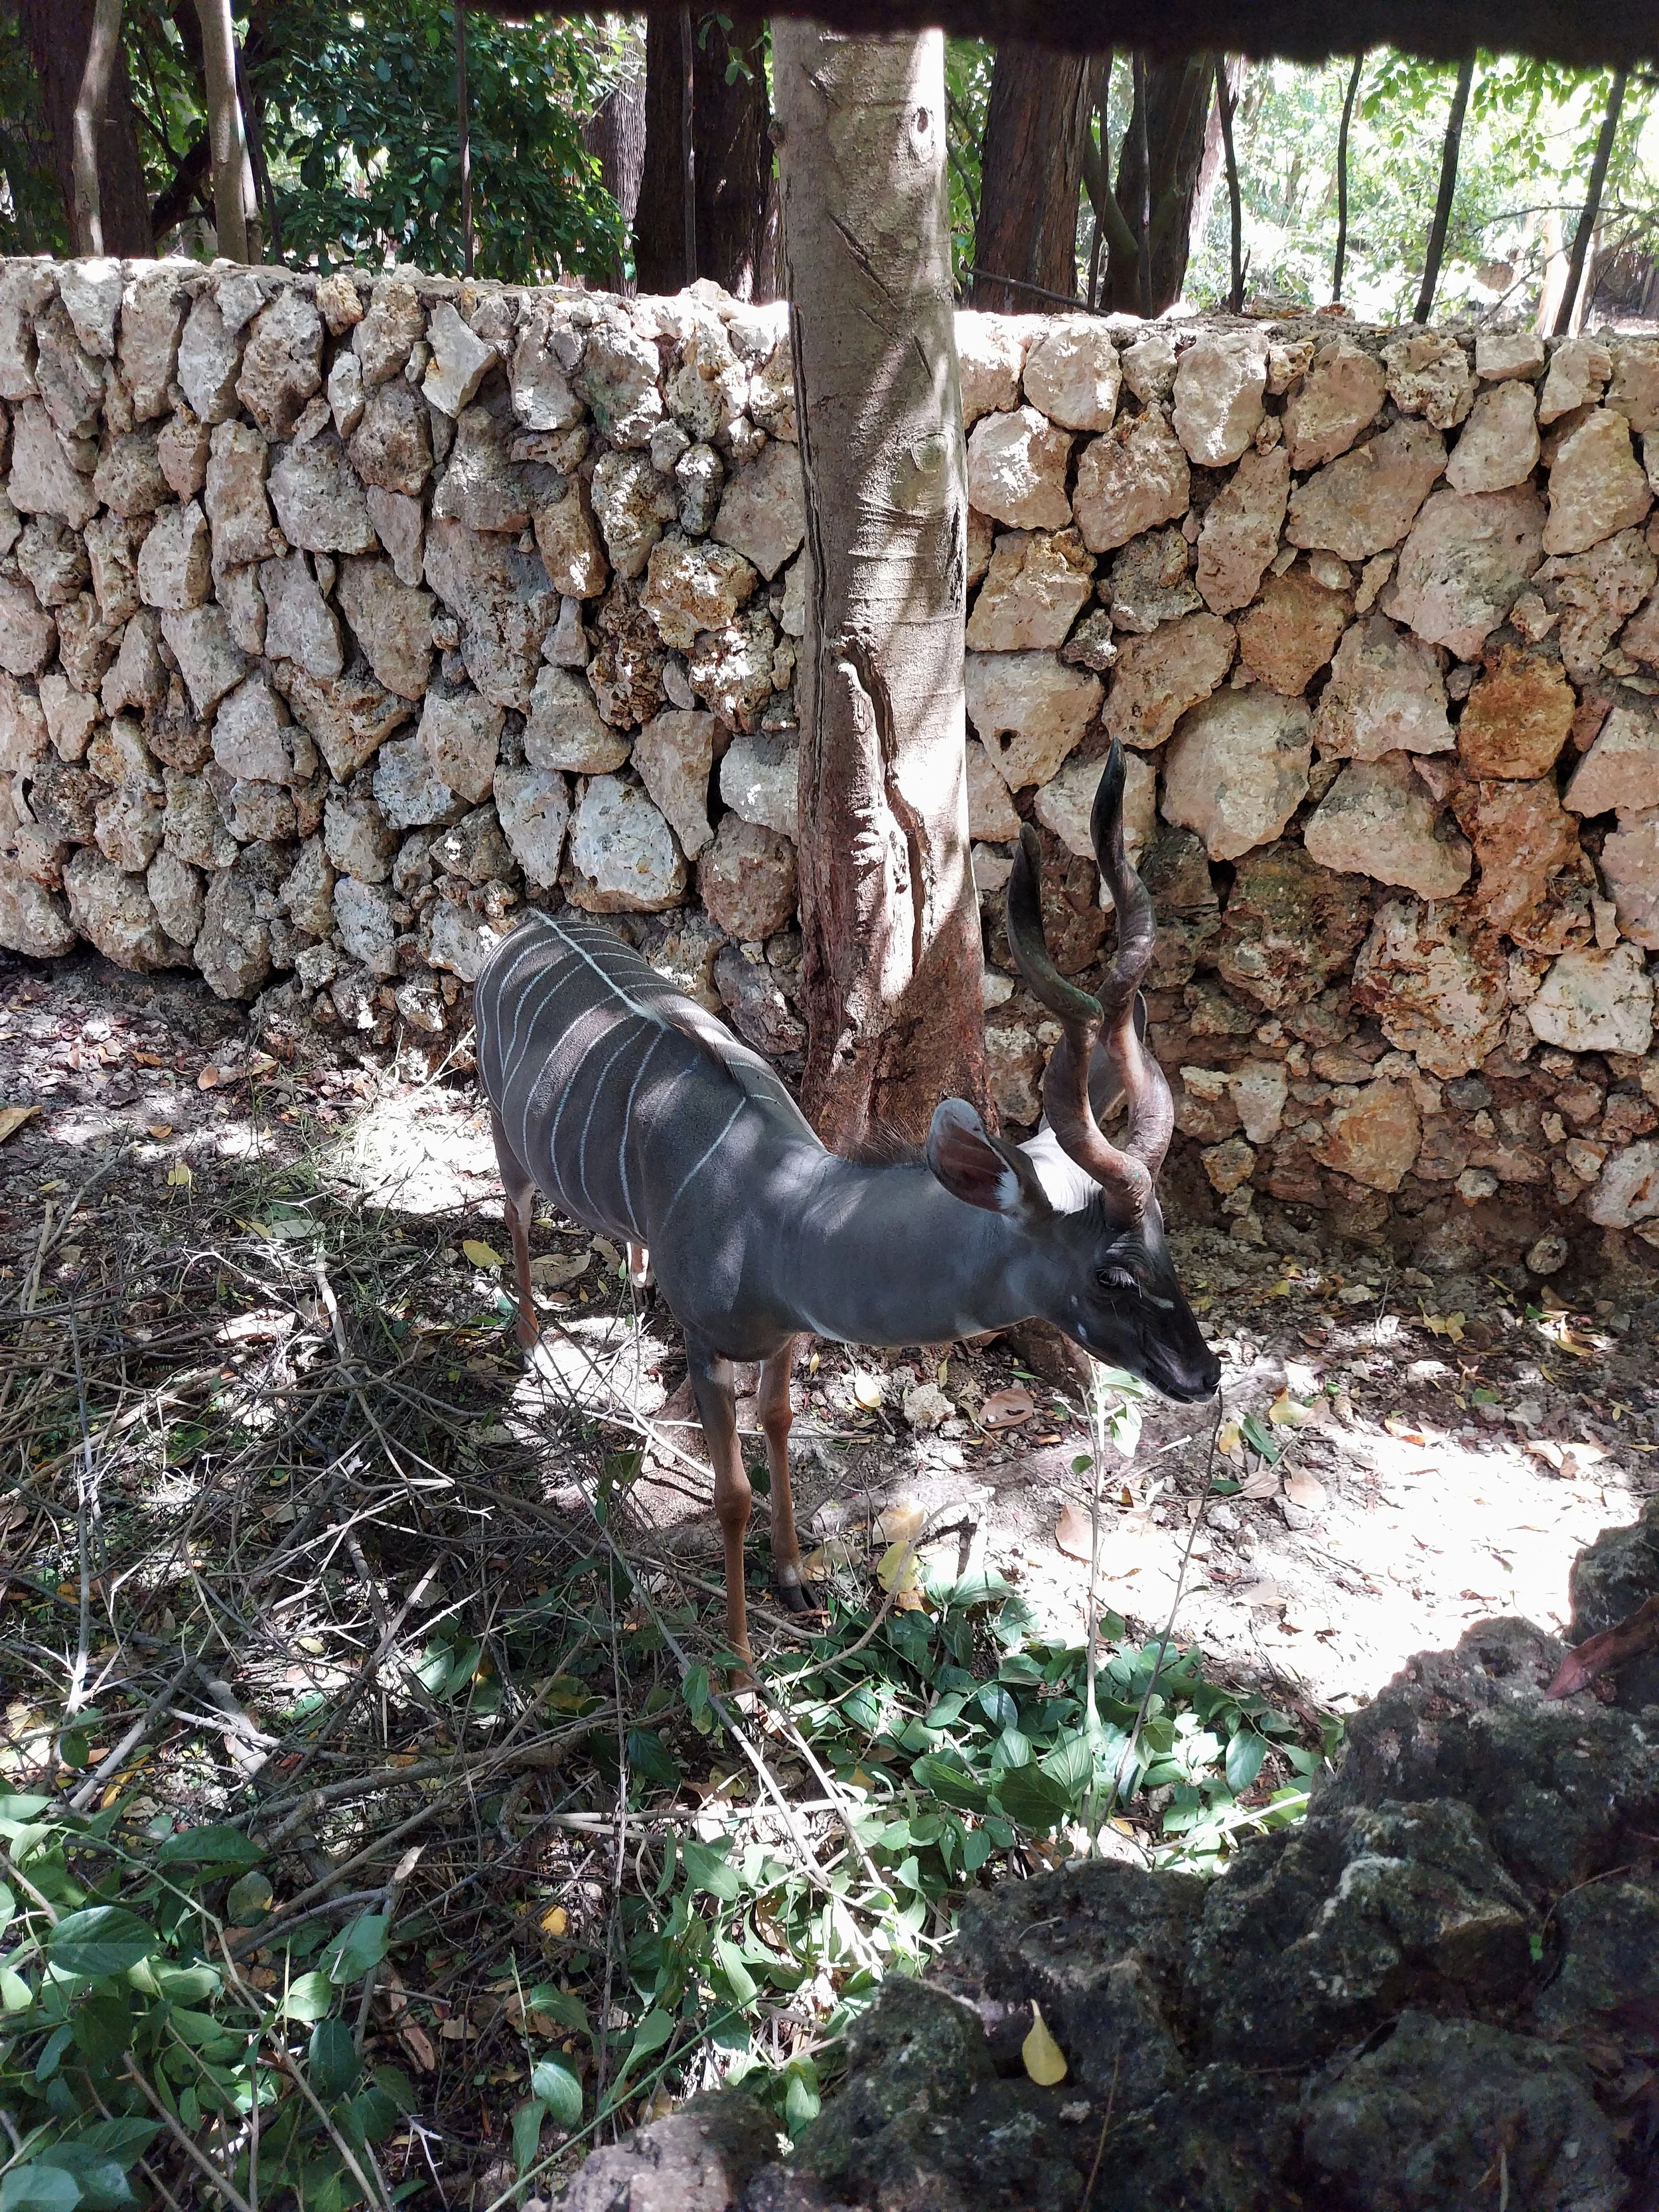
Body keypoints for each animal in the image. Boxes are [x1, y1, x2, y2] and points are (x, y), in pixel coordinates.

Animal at [474, 742, 1219, 1668]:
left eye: (1165, 1240)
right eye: (1112, 1274)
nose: (1202, 1376)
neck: (779, 1214)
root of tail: (520, 932)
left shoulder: (786, 1339)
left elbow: (780, 1425)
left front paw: (797, 1579)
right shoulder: (708, 1345)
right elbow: (730, 1492)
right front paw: (742, 1668)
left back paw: (635, 1274)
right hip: (505, 1133)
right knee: (512, 1210)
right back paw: (530, 1340)